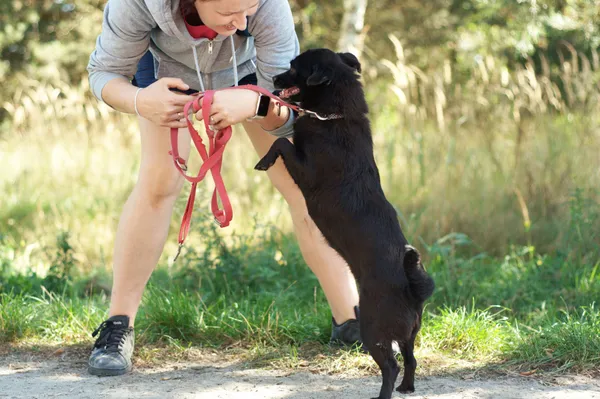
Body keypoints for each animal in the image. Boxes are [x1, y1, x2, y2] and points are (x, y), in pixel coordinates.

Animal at [254, 50, 436, 399]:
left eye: (294, 67)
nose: (273, 78)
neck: (335, 116)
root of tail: (411, 291)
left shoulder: (306, 171)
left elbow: (282, 145)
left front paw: (264, 160)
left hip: (372, 327)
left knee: (390, 365)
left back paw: (385, 394)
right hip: (408, 333)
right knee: (411, 358)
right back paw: (407, 388)